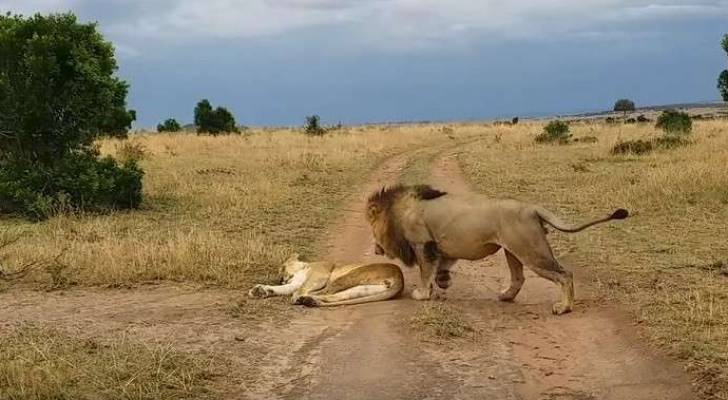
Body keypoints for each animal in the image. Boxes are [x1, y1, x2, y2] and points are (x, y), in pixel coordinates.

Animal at [250, 255, 404, 308]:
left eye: (282, 268)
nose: (281, 279)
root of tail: (400, 278)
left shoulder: (320, 275)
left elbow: (301, 287)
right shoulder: (295, 282)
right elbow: (285, 288)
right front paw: (261, 290)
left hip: (350, 276)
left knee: (326, 292)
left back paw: (303, 299)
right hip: (361, 290)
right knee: (331, 296)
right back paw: (309, 301)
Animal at [366, 184, 628, 312]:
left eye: (372, 229)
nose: (376, 250)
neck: (398, 211)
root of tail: (531, 207)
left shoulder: (423, 244)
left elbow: (425, 272)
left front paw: (422, 293)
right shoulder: (440, 247)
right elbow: (440, 267)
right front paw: (443, 282)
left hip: (531, 251)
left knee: (565, 274)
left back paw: (563, 307)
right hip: (513, 250)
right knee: (519, 278)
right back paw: (505, 296)